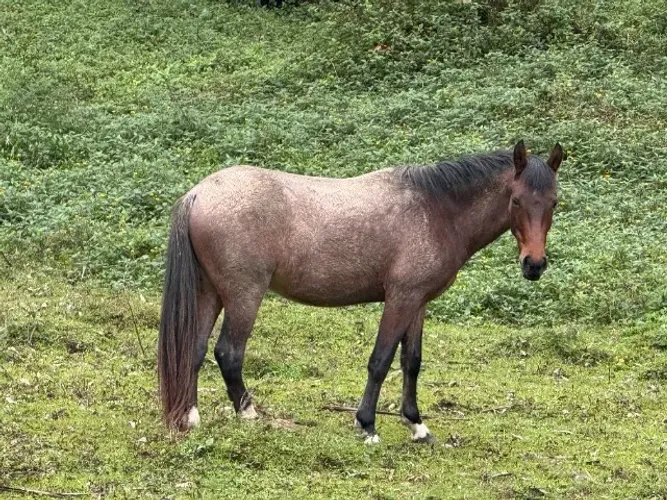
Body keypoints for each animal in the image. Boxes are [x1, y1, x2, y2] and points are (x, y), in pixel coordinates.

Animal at [158, 140, 563, 443]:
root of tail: (198, 194)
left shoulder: (417, 304)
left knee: (193, 350)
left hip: (210, 294)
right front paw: (367, 424)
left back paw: (191, 417)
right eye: (516, 200)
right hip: (244, 295)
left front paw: (416, 424)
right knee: (228, 353)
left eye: (554, 202)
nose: (534, 264)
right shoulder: (400, 299)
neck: (435, 210)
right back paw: (250, 414)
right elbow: (380, 361)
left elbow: (412, 362)